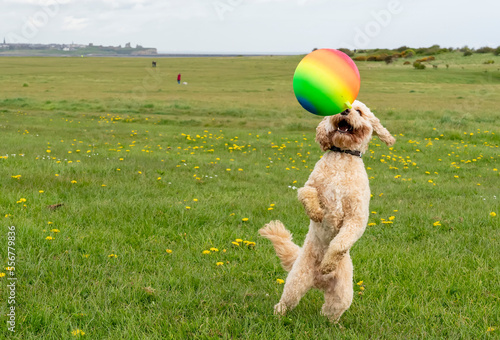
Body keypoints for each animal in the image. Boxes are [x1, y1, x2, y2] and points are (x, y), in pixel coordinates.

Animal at [258, 100, 394, 322]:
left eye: (359, 111)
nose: (345, 111)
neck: (343, 156)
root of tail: (318, 282)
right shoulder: (311, 185)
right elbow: (307, 195)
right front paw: (316, 213)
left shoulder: (356, 217)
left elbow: (340, 243)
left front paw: (328, 263)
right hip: (297, 280)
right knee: (285, 302)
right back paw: (278, 315)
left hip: (342, 293)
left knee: (331, 310)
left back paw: (331, 322)